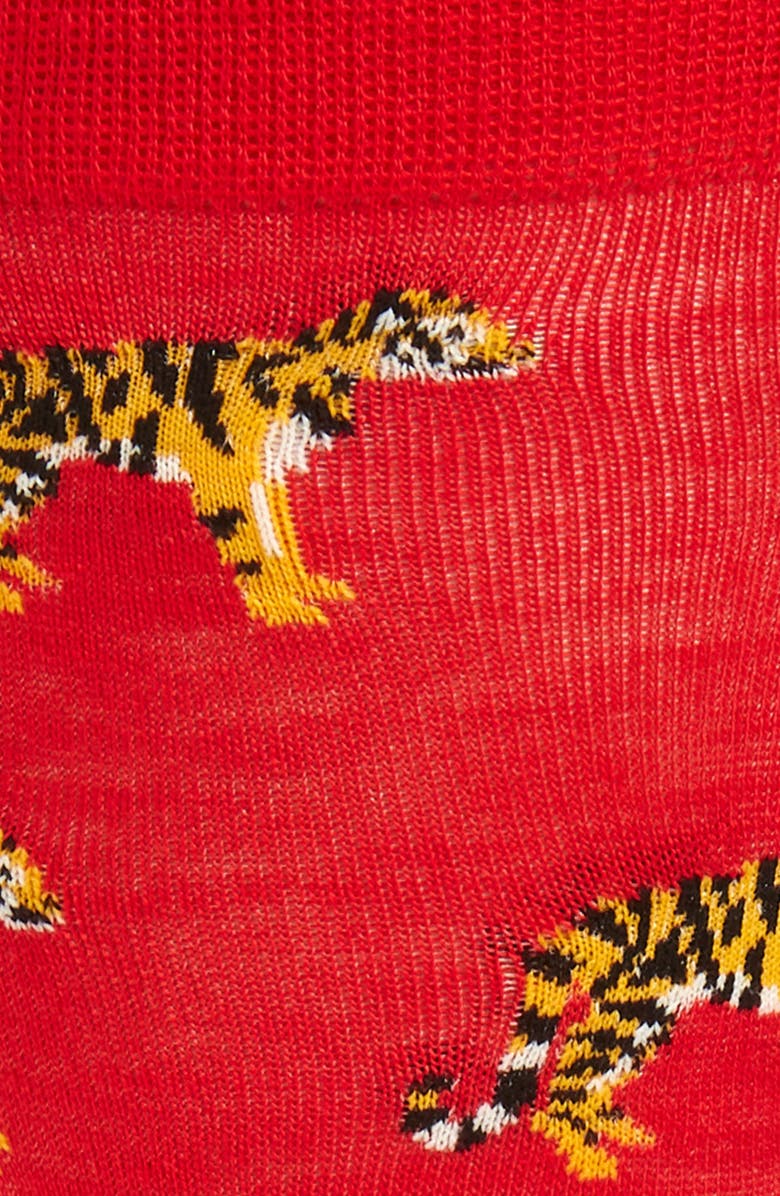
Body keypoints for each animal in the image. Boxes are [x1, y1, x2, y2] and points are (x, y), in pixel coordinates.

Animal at [0, 288, 536, 627]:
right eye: (461, 334)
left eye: (492, 325)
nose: (527, 350)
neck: (301, 374)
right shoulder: (224, 478)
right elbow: (252, 550)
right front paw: (280, 610)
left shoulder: (266, 475)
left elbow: (280, 542)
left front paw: (302, 590)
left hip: (36, 474)